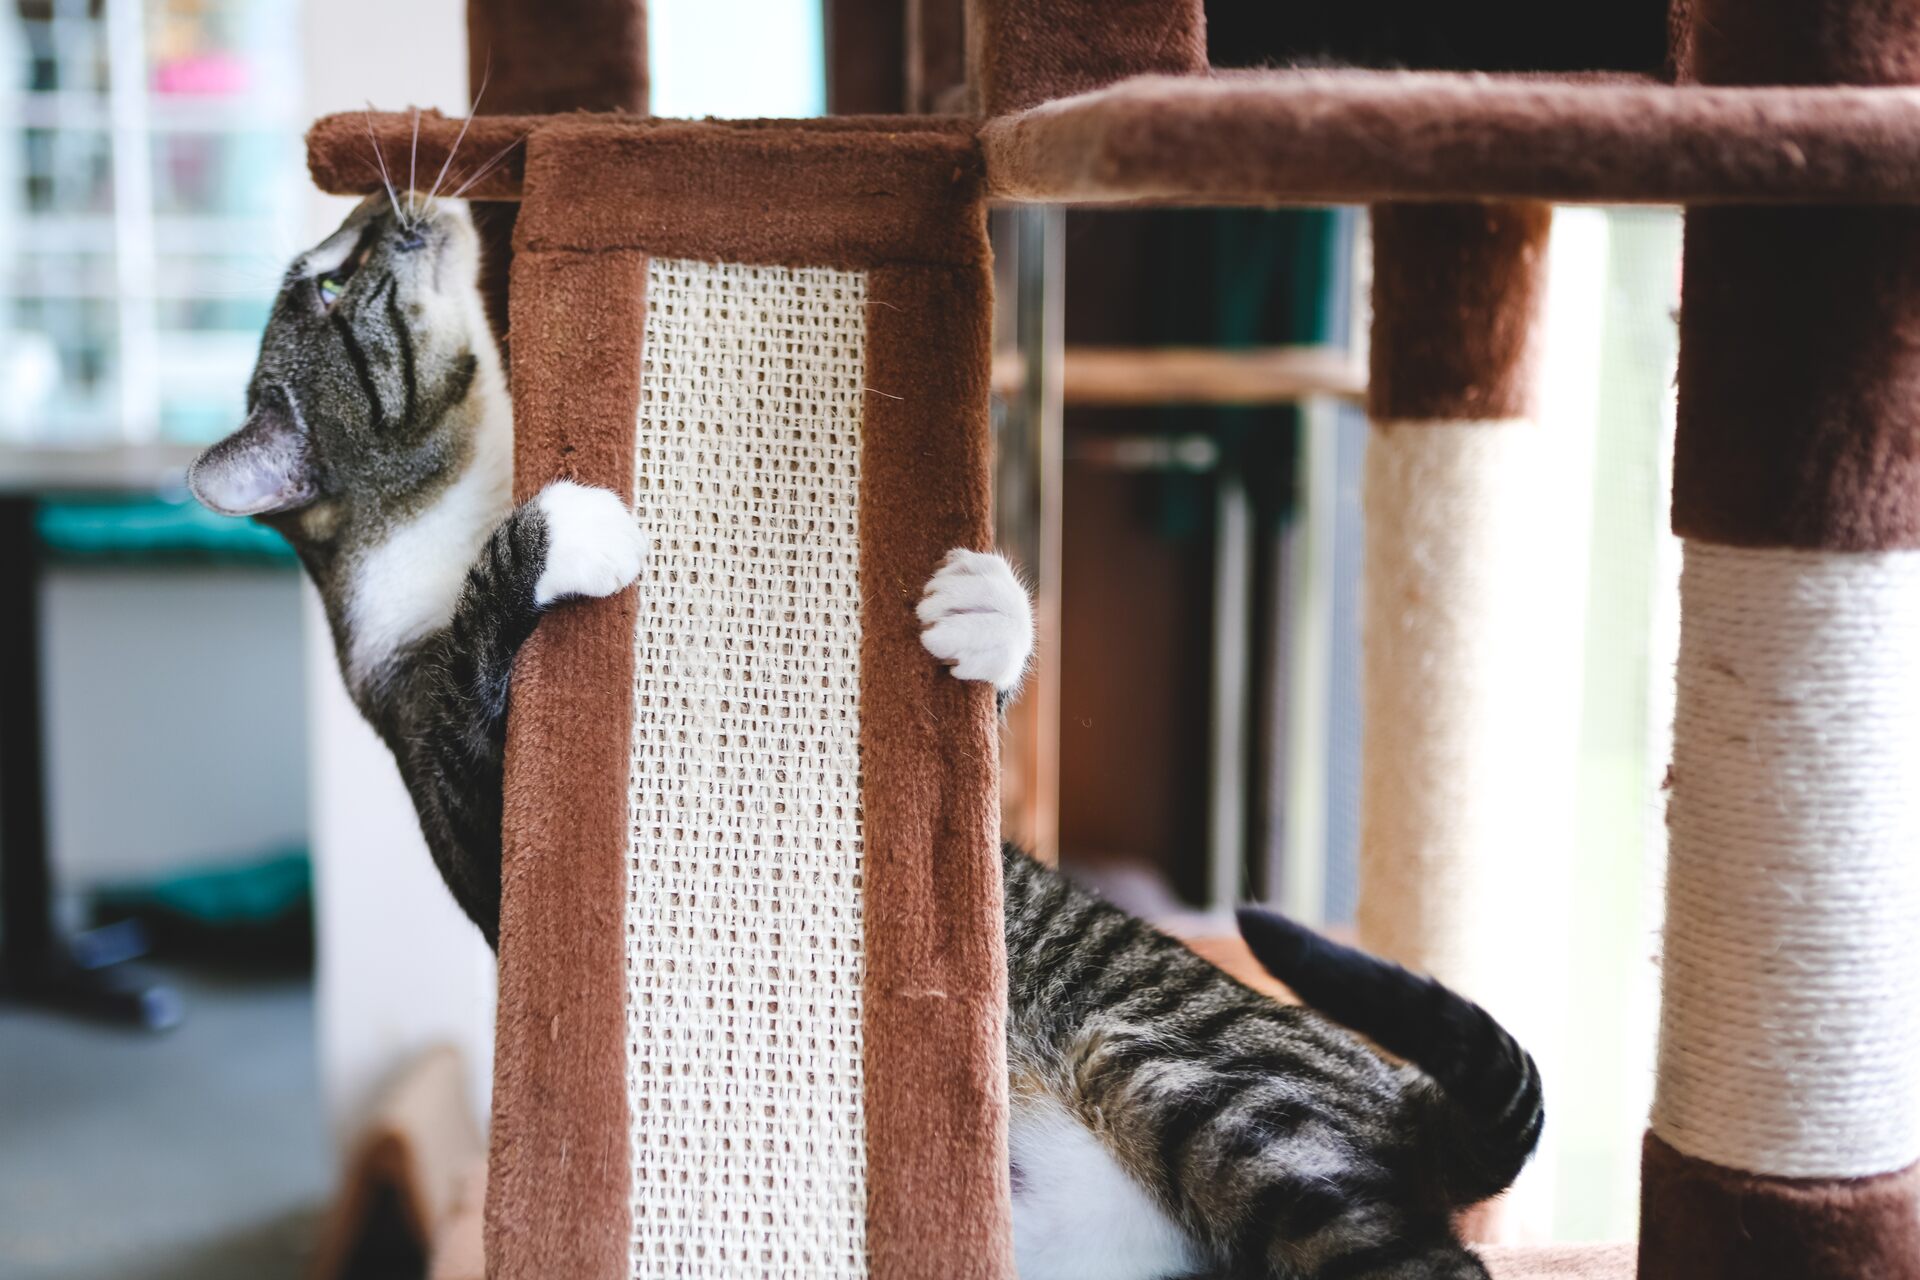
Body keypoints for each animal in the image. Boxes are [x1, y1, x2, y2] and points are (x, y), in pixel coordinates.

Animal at [191, 195, 1543, 1274]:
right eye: (325, 284)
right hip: (1199, 1092)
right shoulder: (464, 784)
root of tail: (1399, 1094)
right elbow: (494, 619)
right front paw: (570, 526)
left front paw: (988, 609)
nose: (383, 200)